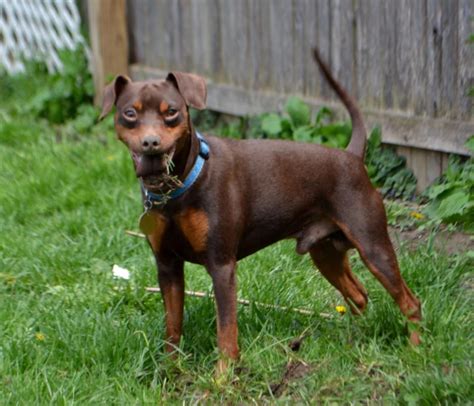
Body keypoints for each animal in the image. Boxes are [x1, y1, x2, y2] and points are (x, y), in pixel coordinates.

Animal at [101, 47, 422, 374]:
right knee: (359, 295)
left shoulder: (222, 266)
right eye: (130, 114)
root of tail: (352, 156)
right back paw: (355, 339)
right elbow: (173, 327)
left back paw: (416, 349)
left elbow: (226, 331)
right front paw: (171, 371)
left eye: (171, 112)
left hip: (372, 245)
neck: (178, 187)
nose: (150, 142)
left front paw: (222, 378)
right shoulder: (167, 266)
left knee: (410, 302)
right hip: (325, 253)